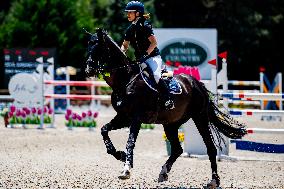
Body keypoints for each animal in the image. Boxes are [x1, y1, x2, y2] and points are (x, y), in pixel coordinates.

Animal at [84, 28, 246, 188]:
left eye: (98, 48)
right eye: (88, 47)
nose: (88, 70)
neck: (125, 81)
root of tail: (196, 83)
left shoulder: (136, 118)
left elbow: (130, 142)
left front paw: (126, 170)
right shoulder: (123, 117)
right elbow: (104, 130)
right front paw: (120, 155)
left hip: (200, 117)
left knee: (210, 148)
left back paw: (214, 180)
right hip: (171, 123)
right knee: (177, 149)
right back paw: (163, 172)